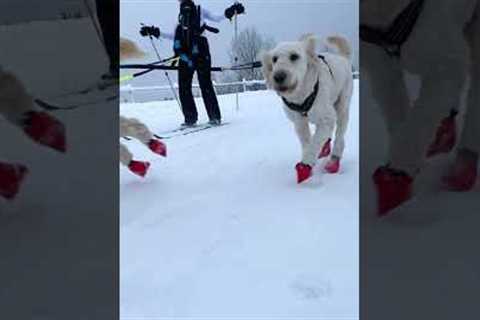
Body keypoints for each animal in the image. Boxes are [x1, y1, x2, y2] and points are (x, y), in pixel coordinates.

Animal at [262, 34, 352, 184]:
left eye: (294, 56)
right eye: (274, 59)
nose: (278, 77)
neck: (301, 95)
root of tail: (343, 58)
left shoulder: (326, 117)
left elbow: (315, 142)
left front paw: (305, 166)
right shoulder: (299, 121)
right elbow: (307, 141)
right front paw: (309, 161)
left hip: (342, 107)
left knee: (339, 135)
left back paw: (334, 161)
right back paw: (325, 149)